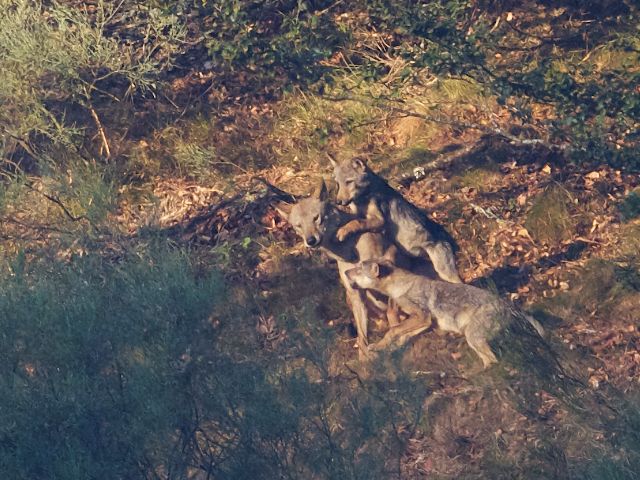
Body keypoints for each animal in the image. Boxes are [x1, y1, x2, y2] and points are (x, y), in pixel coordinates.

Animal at [276, 180, 434, 357]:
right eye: (298, 226)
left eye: (316, 218)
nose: (310, 240)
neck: (349, 251)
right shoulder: (355, 293)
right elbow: (362, 336)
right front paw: (366, 359)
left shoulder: (391, 267)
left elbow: (393, 315)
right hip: (349, 298)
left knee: (425, 321)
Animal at [329, 155, 462, 284]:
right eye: (338, 184)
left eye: (349, 182)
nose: (338, 201)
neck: (364, 196)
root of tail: (453, 242)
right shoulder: (359, 214)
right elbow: (355, 219)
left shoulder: (379, 220)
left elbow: (356, 222)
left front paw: (342, 231)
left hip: (445, 273)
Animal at [345, 260, 545, 368]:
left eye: (358, 268)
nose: (345, 272)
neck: (399, 287)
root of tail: (507, 305)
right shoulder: (425, 323)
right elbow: (400, 335)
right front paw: (384, 348)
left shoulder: (421, 316)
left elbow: (392, 330)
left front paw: (379, 346)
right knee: (490, 359)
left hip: (472, 336)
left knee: (493, 360)